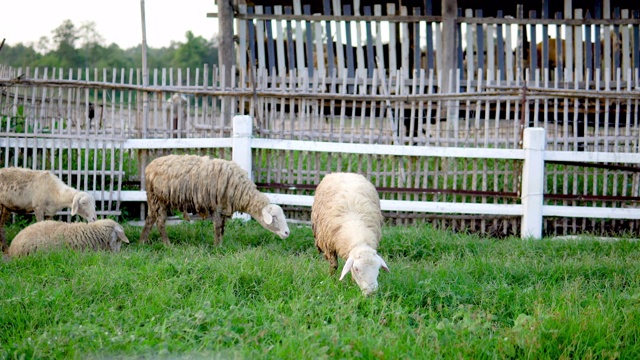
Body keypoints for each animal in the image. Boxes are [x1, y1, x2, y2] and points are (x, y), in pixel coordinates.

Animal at [141, 153, 292, 246]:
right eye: (274, 217)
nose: (287, 233)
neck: (241, 191)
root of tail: (149, 166)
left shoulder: (224, 208)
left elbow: (222, 228)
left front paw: (220, 244)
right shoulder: (217, 207)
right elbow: (218, 227)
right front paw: (217, 247)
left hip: (155, 200)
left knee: (150, 219)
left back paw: (142, 242)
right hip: (158, 199)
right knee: (160, 222)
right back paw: (167, 245)